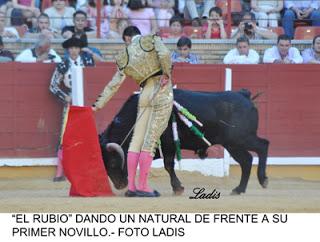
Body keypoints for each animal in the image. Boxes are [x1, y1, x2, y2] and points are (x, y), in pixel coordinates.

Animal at [99, 89, 268, 195]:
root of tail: (244, 95)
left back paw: (263, 180)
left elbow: (168, 165)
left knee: (263, 145)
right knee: (247, 160)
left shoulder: (169, 146)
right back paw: (238, 189)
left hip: (242, 139)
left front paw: (178, 188)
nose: (120, 185)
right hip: (233, 144)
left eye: (113, 163)